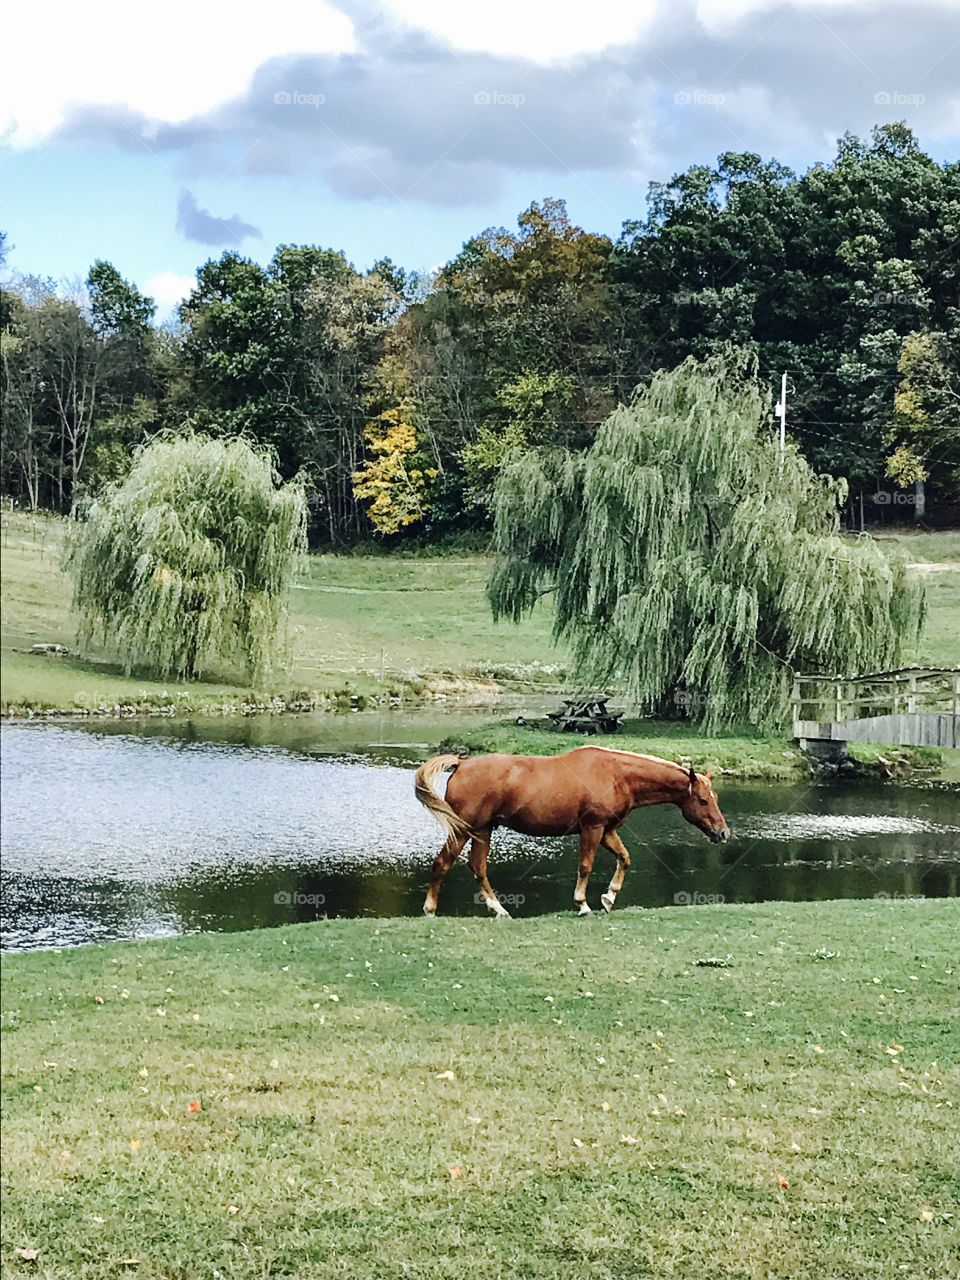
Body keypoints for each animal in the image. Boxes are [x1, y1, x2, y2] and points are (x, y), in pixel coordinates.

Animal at [414, 747, 727, 916]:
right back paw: (430, 909)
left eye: (714, 798)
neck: (617, 775)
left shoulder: (606, 831)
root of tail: (462, 764)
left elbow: (625, 858)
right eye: (702, 800)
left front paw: (609, 898)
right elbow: (585, 866)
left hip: (482, 830)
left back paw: (499, 910)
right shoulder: (592, 829)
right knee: (443, 863)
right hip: (462, 831)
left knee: (477, 867)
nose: (723, 833)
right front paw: (583, 904)